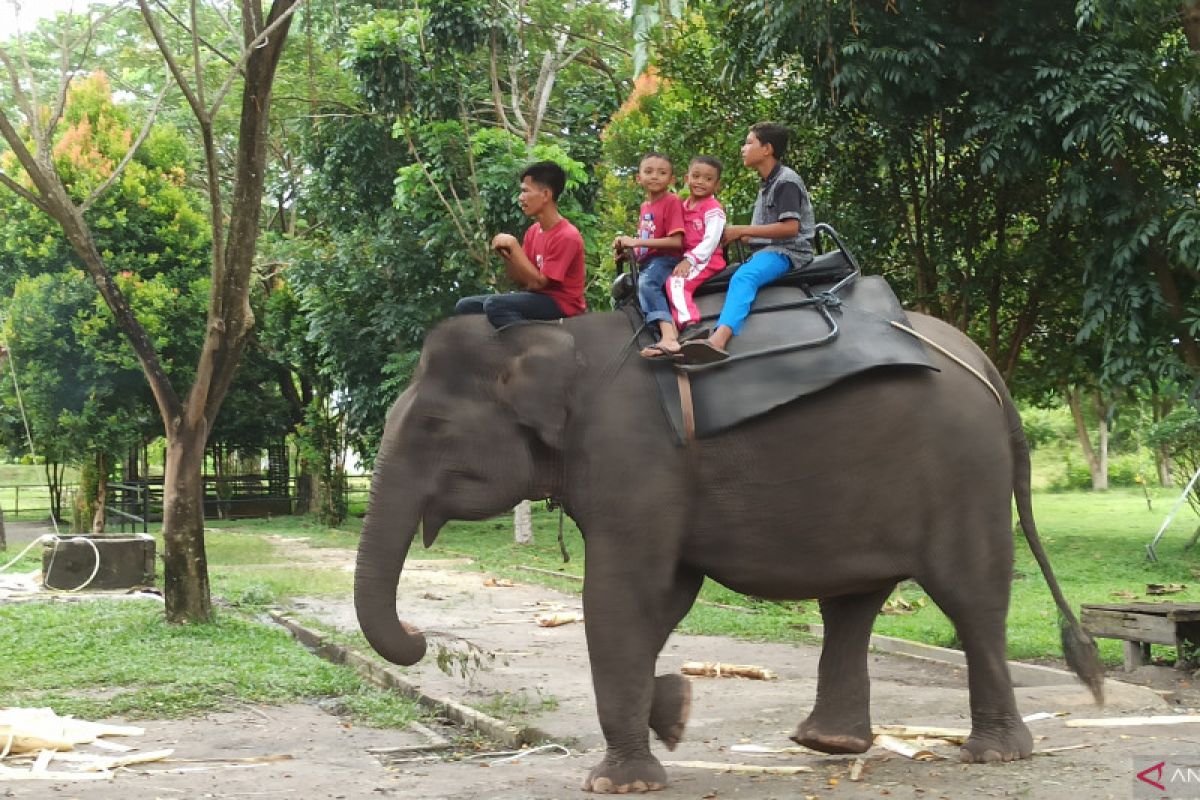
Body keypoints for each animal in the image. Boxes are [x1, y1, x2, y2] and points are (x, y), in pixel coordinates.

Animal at [355, 309, 1104, 791]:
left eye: (432, 424)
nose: (420, 637)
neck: (552, 338)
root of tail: (987, 370)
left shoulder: (635, 458)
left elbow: (621, 594)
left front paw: (620, 783)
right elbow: (662, 598)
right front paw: (674, 713)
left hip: (962, 473)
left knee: (969, 596)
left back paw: (993, 758)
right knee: (854, 602)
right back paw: (830, 744)